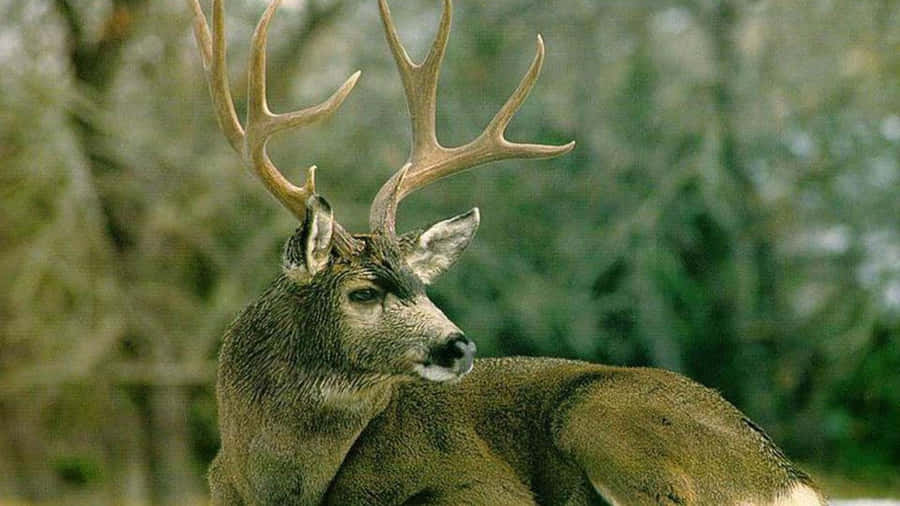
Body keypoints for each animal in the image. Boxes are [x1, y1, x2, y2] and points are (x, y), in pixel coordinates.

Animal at [186, 0, 826, 504]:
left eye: (421, 285)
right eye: (363, 291)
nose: (459, 345)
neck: (274, 482)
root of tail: (790, 479)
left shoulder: (479, 484)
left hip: (600, 414)